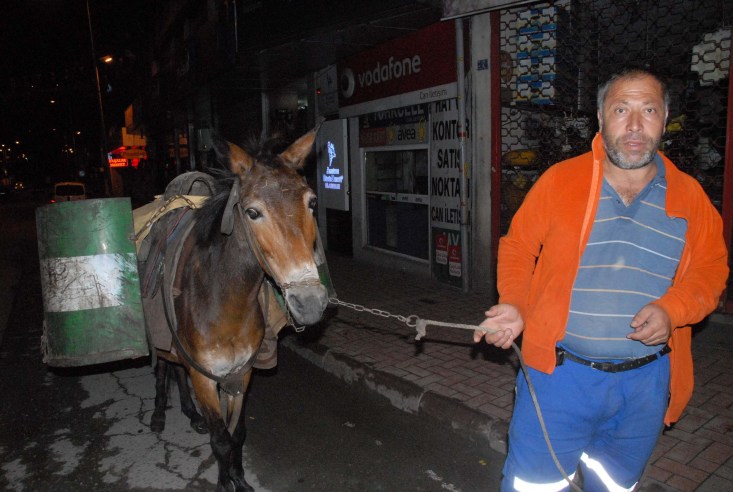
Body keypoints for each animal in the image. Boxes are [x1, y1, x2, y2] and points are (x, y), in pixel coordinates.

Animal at [145, 125, 329, 491]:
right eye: (253, 212)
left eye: (312, 202)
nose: (311, 303)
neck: (225, 301)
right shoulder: (205, 377)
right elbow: (220, 440)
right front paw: (223, 482)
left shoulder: (242, 372)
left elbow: (237, 433)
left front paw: (238, 478)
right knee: (163, 370)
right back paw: (159, 415)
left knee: (176, 370)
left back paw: (190, 414)